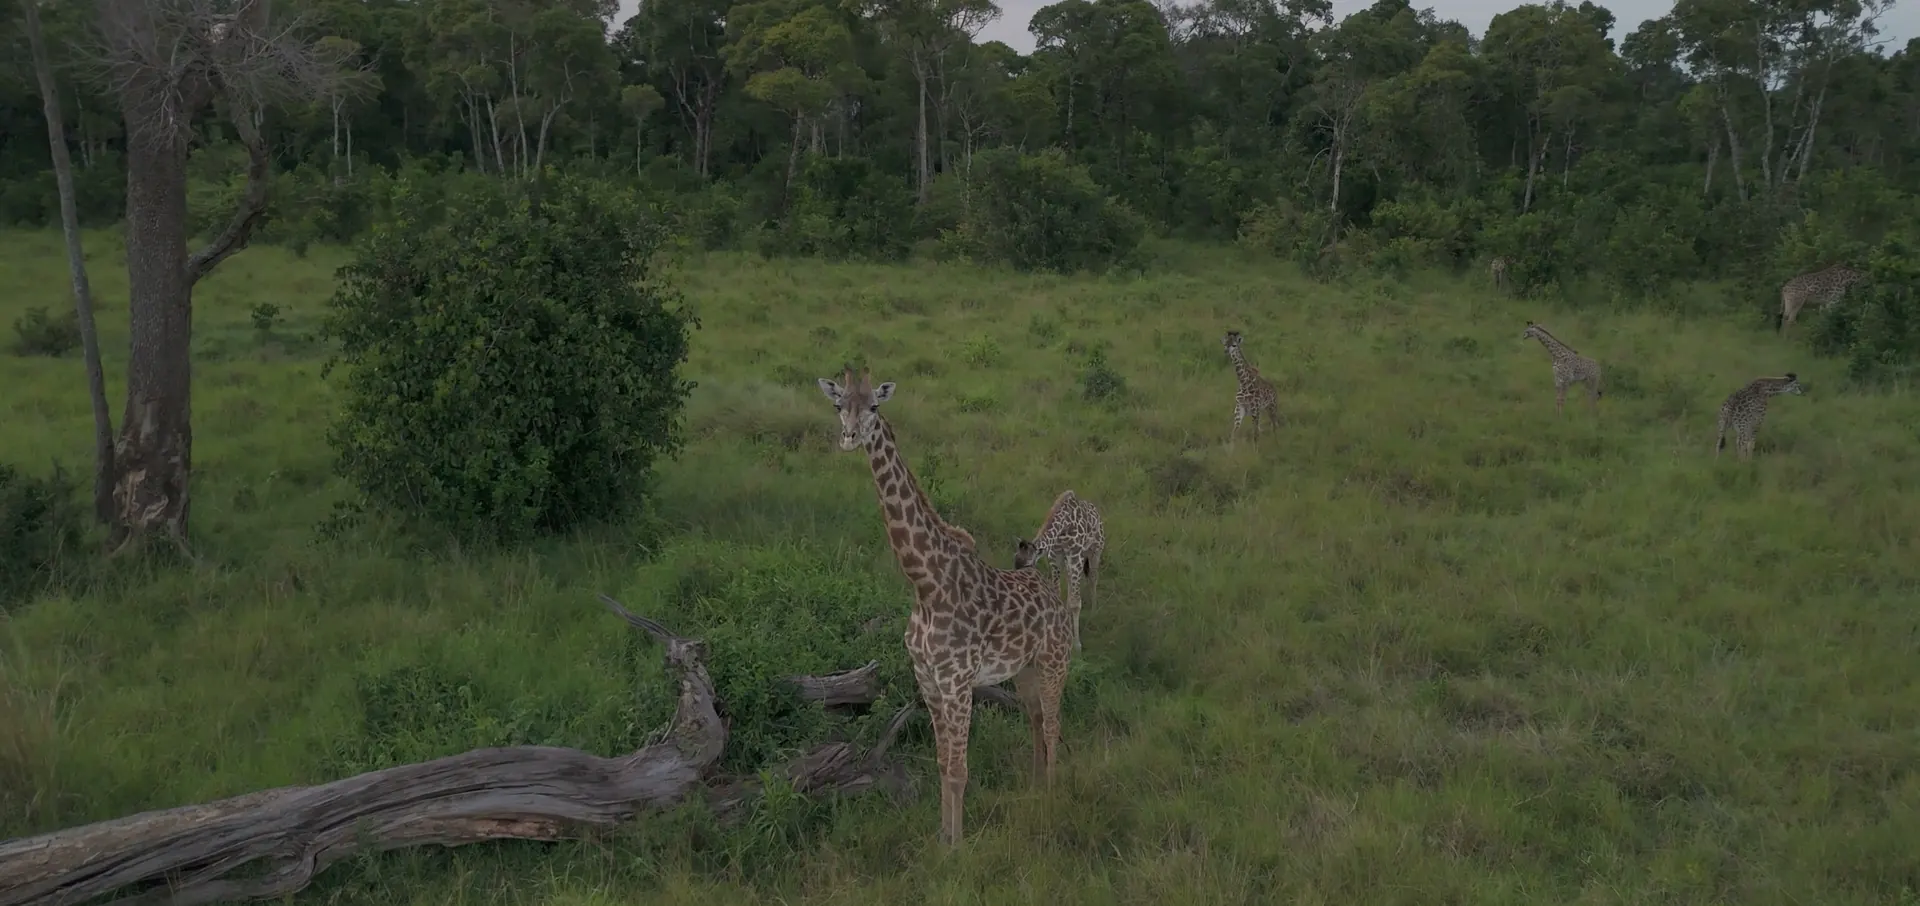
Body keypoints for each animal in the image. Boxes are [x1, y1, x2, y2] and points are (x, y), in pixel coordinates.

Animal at [817, 366, 1074, 848]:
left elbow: (958, 770)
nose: (849, 437)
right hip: (1025, 669)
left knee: (1052, 725)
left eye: (874, 405)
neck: (925, 584)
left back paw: (1051, 797)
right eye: (839, 404)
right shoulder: (928, 680)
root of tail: (1054, 594)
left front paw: (957, 849)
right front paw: (942, 838)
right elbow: (941, 764)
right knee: (1034, 721)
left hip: (1055, 662)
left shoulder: (957, 683)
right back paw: (1033, 788)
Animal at [1011, 489, 1105, 651]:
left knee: (1093, 577)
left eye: (1029, 565)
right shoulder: (1055, 557)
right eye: (1015, 563)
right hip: (1070, 561)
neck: (1064, 526)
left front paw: (1076, 644)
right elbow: (1057, 594)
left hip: (1094, 551)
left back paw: (1094, 612)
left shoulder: (1075, 556)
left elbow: (1075, 602)